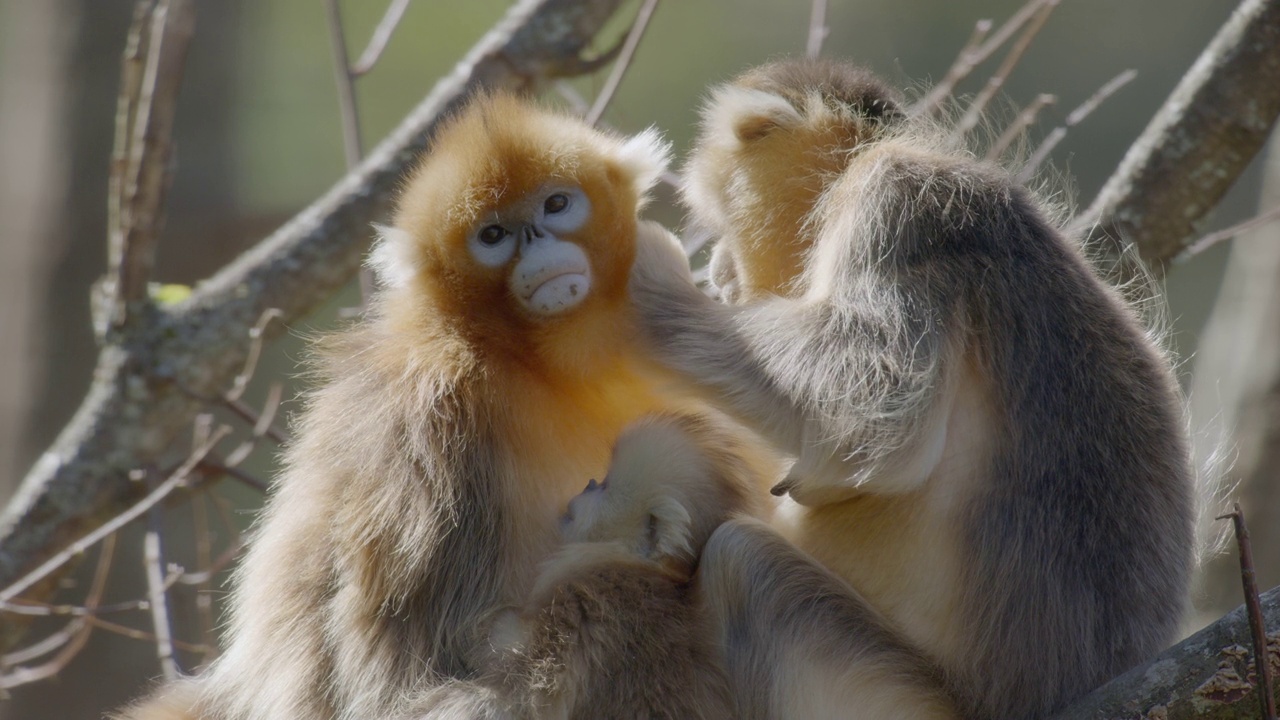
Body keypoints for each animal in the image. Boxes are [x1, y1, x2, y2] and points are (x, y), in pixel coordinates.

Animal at [634, 57, 1192, 717]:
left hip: (895, 695)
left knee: (742, 563)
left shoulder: (897, 199)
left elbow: (879, 415)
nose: (720, 269)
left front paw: (646, 293)